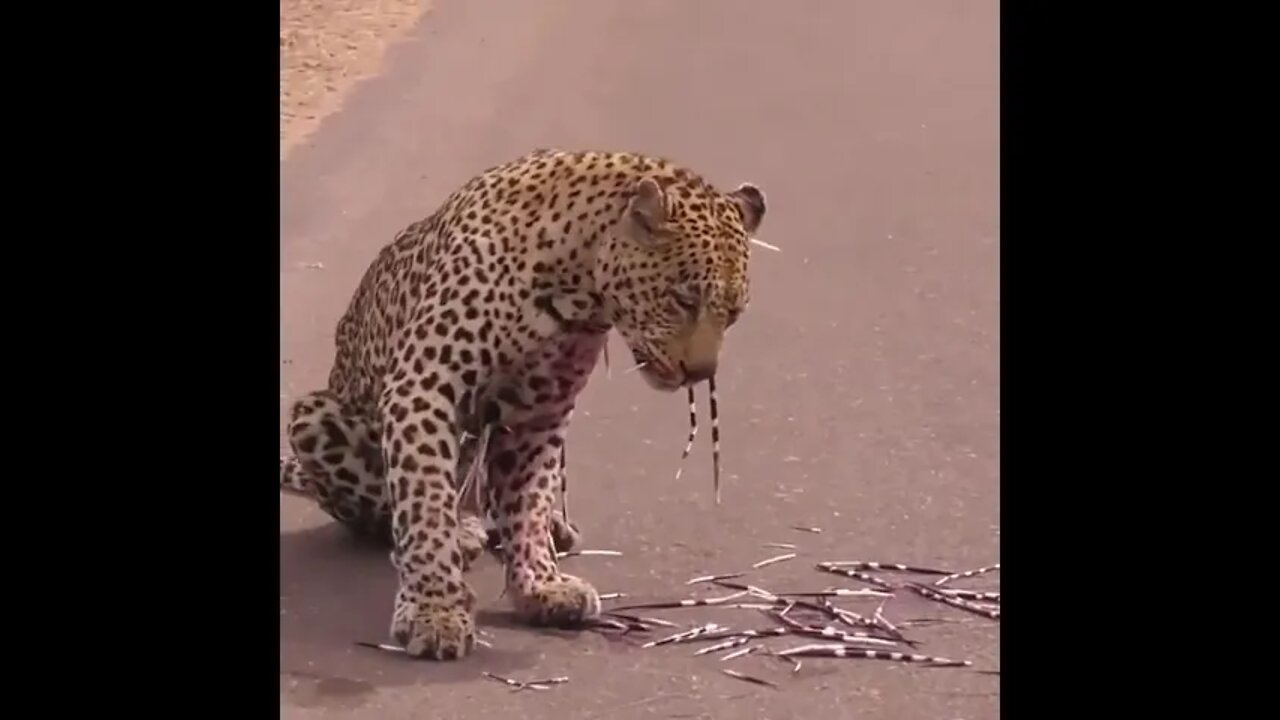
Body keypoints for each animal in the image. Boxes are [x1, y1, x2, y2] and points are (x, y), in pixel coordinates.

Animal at [276, 148, 762, 661]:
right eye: (683, 299)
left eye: (733, 314)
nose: (700, 372)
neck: (579, 285)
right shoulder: (424, 386)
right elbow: (424, 501)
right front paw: (435, 610)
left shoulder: (539, 414)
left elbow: (528, 497)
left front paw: (540, 585)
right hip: (313, 417)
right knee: (384, 510)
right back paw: (462, 531)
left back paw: (546, 527)